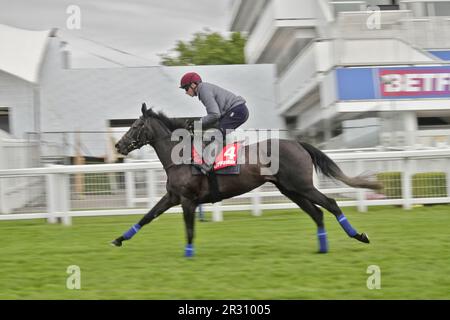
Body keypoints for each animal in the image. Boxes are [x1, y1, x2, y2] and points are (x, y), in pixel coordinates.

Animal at [111, 104, 380, 256]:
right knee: (317, 213)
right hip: (291, 190)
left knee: (331, 205)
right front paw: (119, 239)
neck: (183, 158)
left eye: (135, 125)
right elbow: (147, 217)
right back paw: (322, 248)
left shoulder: (188, 200)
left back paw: (359, 236)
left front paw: (188, 254)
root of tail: (298, 143)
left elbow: (189, 230)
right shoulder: (172, 197)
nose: (118, 145)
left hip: (302, 186)